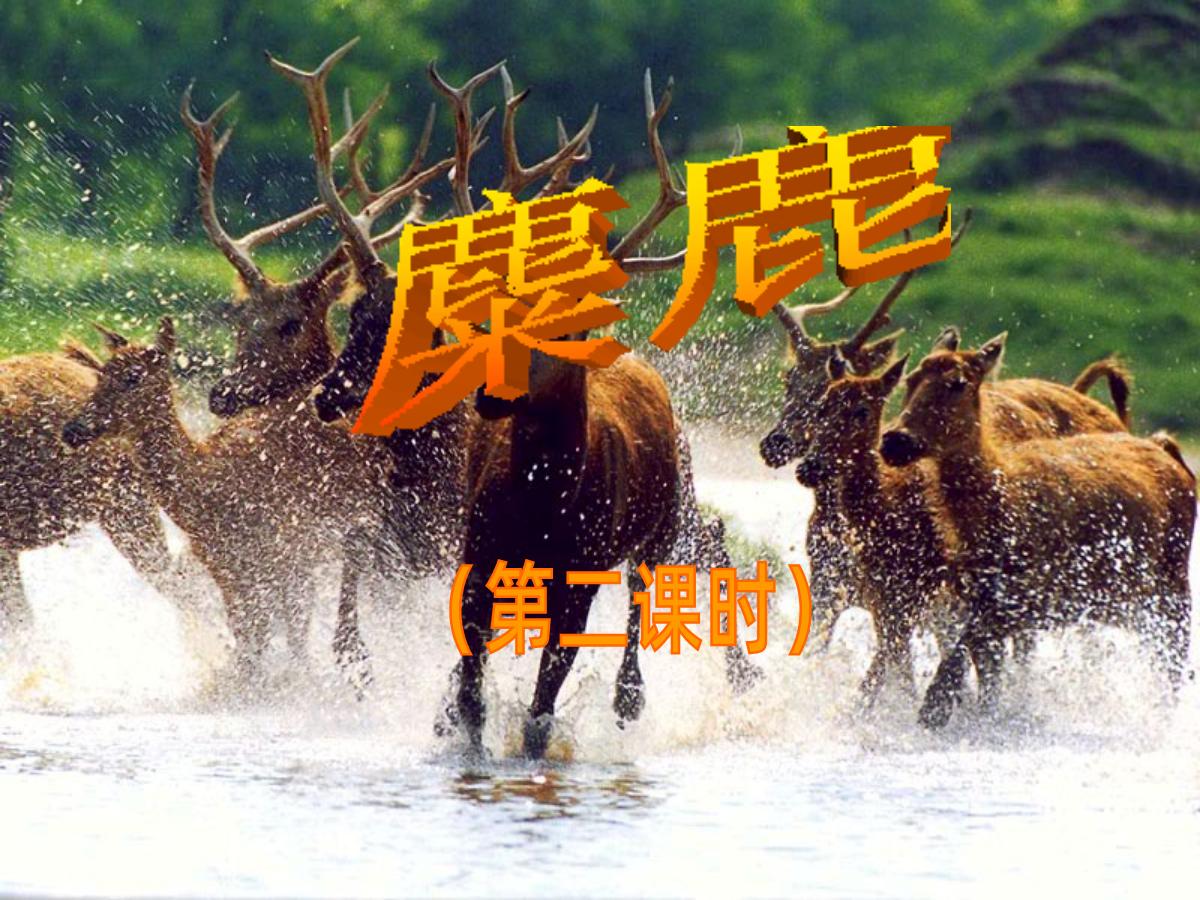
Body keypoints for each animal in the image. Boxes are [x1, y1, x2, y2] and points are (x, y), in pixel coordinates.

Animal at [61, 318, 394, 686]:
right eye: (101, 373)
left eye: (133, 377)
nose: (73, 430)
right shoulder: (229, 570)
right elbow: (253, 641)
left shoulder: (283, 554)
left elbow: (277, 638)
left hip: (358, 518)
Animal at [880, 334, 1195, 728]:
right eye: (910, 378)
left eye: (958, 383)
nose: (895, 440)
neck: (993, 507)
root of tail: (1168, 451)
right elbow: (985, 671)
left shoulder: (1033, 599)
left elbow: (964, 657)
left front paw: (933, 710)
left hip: (1172, 592)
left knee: (1172, 666)